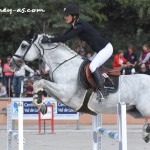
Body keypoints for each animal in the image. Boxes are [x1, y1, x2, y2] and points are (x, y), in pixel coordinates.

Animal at [9, 33, 150, 142]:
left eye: (23, 45)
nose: (11, 64)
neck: (64, 64)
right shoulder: (59, 94)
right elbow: (40, 84)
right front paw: (40, 103)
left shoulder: (65, 92)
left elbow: (41, 82)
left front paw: (40, 103)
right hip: (135, 111)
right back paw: (145, 133)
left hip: (144, 109)